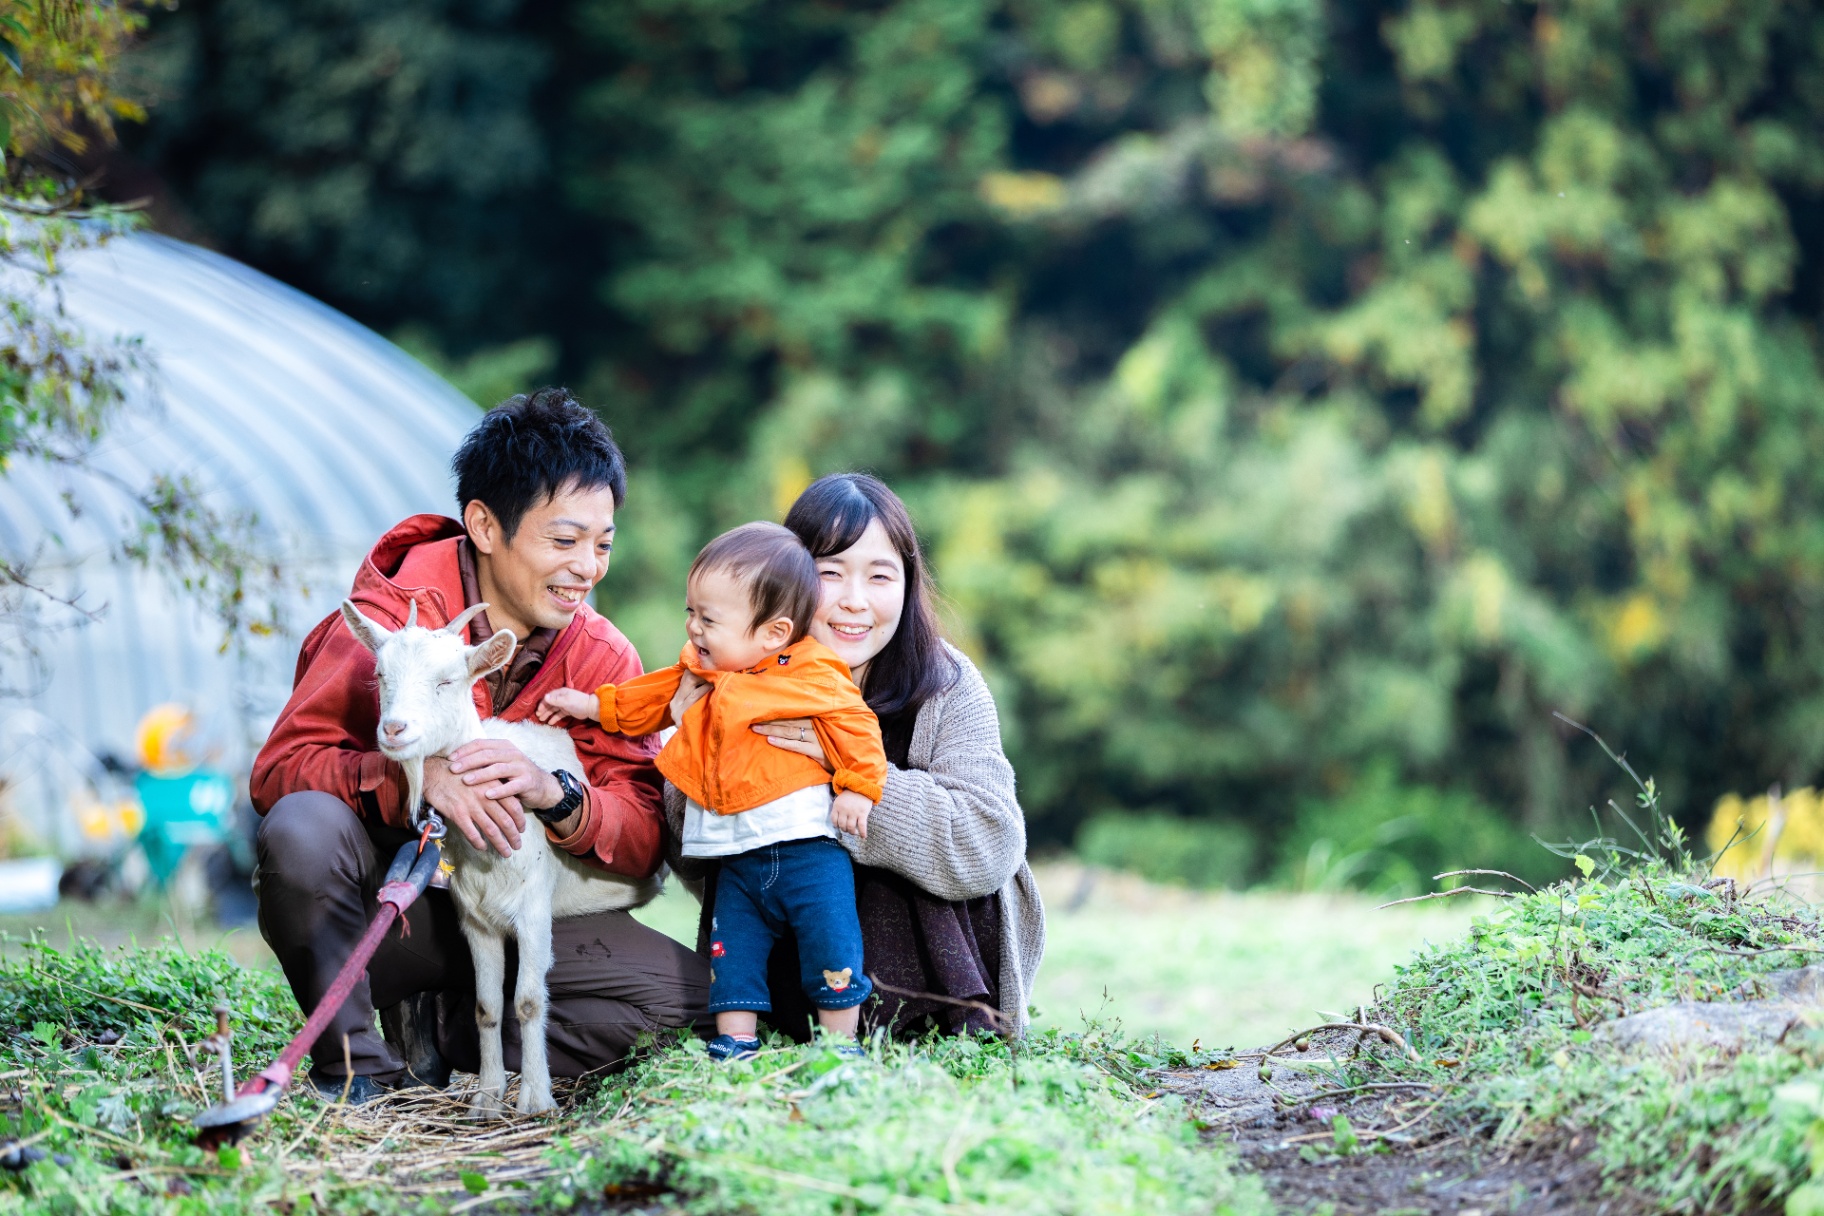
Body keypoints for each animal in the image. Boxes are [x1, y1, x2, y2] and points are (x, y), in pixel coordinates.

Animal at [342, 594, 663, 1115]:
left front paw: (535, 1098)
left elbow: (528, 1002)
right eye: (381, 674)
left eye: (447, 681)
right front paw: (488, 1099)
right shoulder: (475, 919)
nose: (394, 729)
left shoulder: (533, 910)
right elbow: (487, 1007)